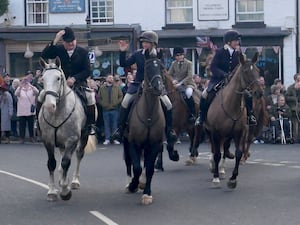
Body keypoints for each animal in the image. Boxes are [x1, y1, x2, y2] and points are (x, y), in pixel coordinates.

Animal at [38, 57, 96, 200]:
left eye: (58, 78)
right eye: (43, 78)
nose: (49, 106)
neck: (57, 113)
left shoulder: (72, 140)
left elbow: (65, 162)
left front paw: (65, 190)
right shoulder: (47, 140)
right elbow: (51, 163)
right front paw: (52, 191)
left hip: (83, 136)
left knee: (79, 155)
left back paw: (74, 181)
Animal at [205, 52, 262, 188]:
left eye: (257, 70)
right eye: (246, 71)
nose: (259, 92)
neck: (231, 104)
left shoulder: (239, 133)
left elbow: (238, 153)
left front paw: (233, 179)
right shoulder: (215, 131)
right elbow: (217, 153)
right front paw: (215, 178)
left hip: (227, 134)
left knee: (224, 147)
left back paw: (221, 169)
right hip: (211, 131)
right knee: (214, 148)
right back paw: (213, 167)